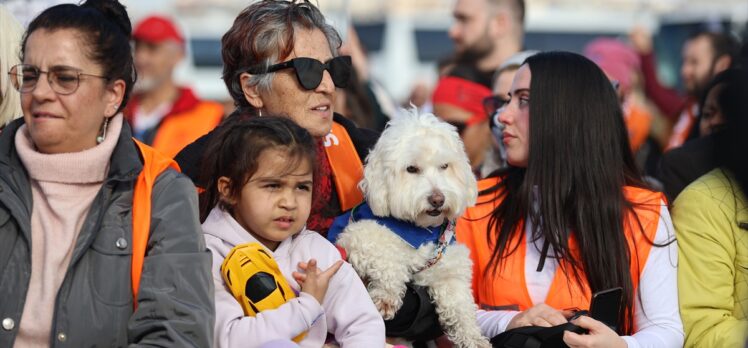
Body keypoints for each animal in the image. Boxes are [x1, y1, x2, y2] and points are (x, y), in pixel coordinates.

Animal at [330, 109, 488, 348]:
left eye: (445, 166)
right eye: (411, 169)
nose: (437, 199)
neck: (419, 230)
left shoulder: (445, 265)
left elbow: (460, 305)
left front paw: (473, 338)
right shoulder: (358, 236)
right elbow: (388, 261)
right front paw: (386, 297)